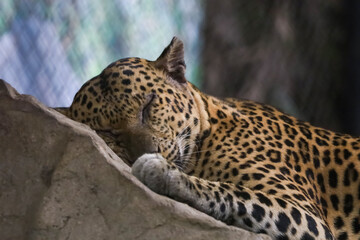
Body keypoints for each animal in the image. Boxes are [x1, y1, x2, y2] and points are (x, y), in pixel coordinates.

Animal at [56, 36, 360, 239]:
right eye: (109, 132)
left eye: (148, 105)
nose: (146, 152)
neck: (211, 129)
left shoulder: (310, 219)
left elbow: (236, 192)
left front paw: (162, 172)